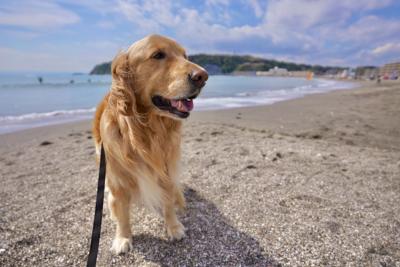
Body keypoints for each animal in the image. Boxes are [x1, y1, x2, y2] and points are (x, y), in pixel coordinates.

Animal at [92, 34, 208, 254]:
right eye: (158, 55)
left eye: (185, 56)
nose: (203, 76)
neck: (145, 132)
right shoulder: (118, 180)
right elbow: (122, 214)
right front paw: (122, 237)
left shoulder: (166, 170)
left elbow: (168, 202)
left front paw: (173, 226)